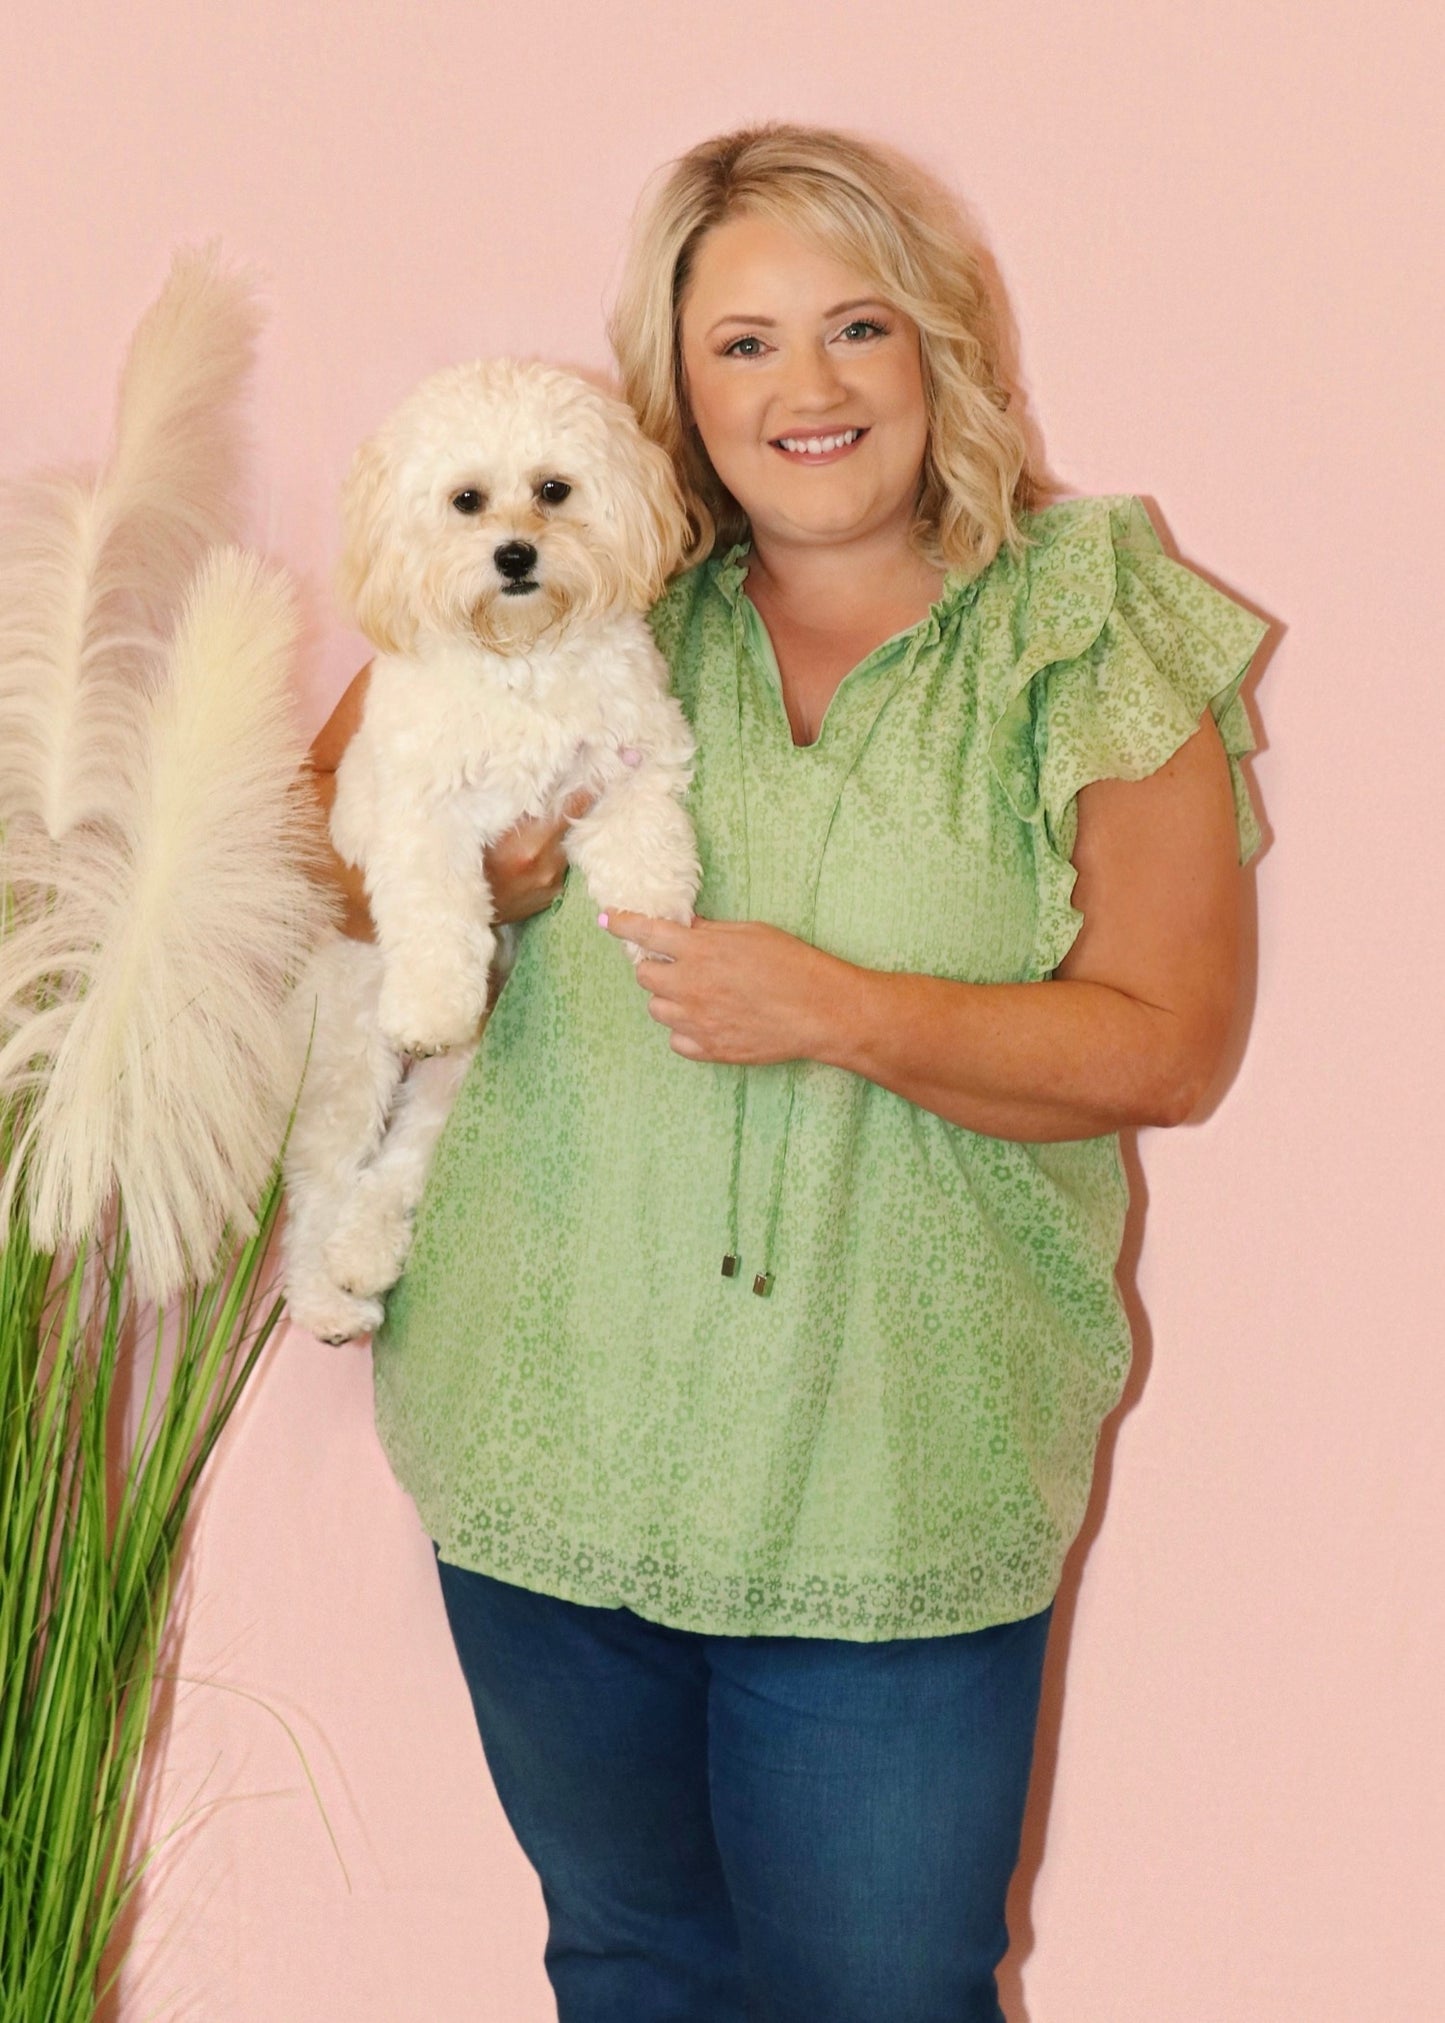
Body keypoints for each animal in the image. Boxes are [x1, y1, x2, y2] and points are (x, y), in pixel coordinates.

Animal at [281, 360, 696, 1343]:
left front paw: (656, 919)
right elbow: (439, 914)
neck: (520, 658)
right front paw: (434, 1001)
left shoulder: (632, 759)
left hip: (453, 1088)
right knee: (318, 1193)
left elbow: (645, 841)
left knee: (391, 1175)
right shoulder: (421, 818)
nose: (514, 556)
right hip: (348, 1061)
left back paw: (365, 1259)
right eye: (465, 500)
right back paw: (327, 1299)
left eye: (553, 490)